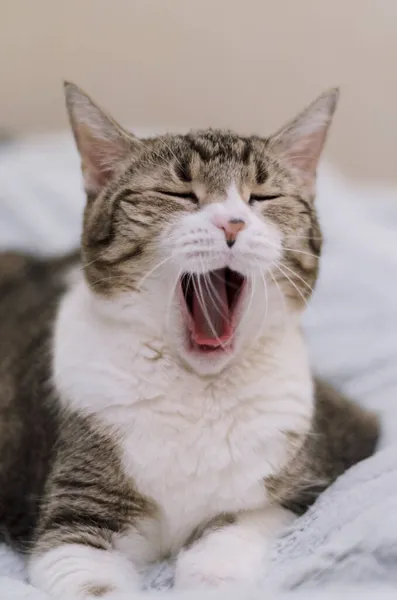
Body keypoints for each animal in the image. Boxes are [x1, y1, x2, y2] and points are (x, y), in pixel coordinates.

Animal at [0, 85, 378, 600]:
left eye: (263, 197)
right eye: (178, 194)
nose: (233, 223)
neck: (200, 391)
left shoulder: (327, 457)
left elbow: (238, 526)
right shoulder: (76, 510)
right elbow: (85, 573)